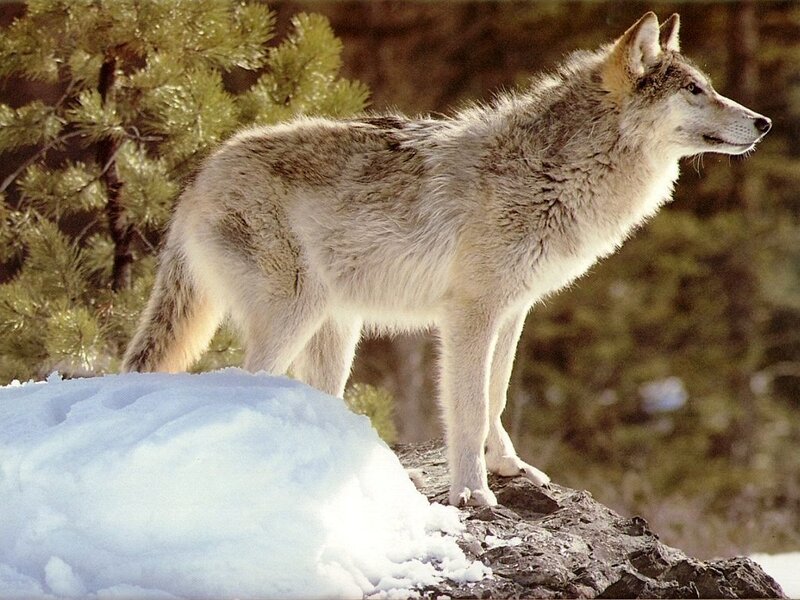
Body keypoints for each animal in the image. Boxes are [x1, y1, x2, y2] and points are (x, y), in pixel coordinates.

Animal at [123, 12, 770, 506]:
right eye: (695, 91)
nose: (764, 121)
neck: (555, 172)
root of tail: (199, 176)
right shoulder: (468, 314)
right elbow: (468, 407)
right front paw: (473, 493)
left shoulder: (513, 312)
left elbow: (498, 397)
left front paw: (509, 468)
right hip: (294, 315)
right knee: (244, 383)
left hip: (337, 330)